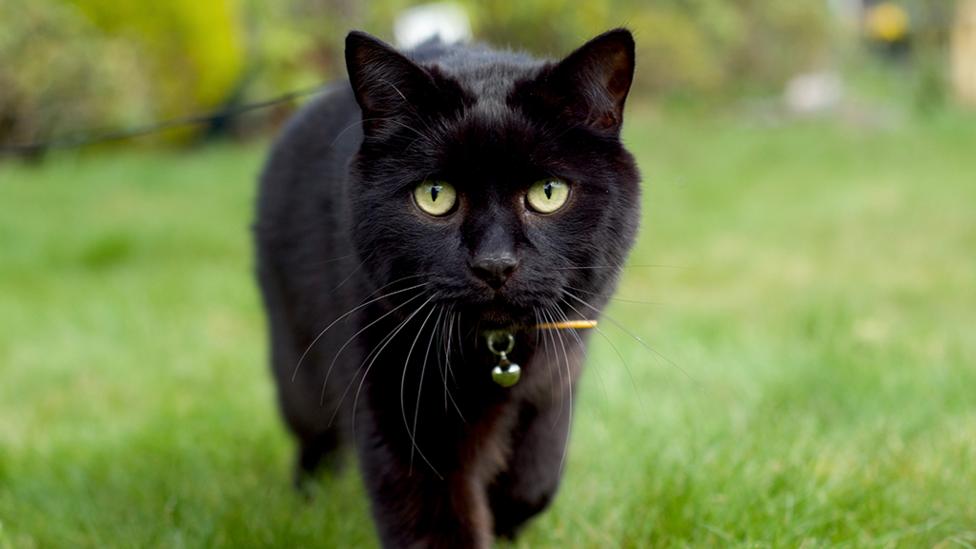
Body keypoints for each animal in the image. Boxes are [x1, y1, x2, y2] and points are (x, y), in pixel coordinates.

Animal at [255, 27, 644, 544]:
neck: (496, 352)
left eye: (548, 192)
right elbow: (434, 523)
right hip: (299, 368)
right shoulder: (400, 409)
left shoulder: (559, 370)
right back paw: (308, 501)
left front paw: (508, 517)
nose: (494, 263)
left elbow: (537, 475)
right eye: (435, 195)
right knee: (314, 437)